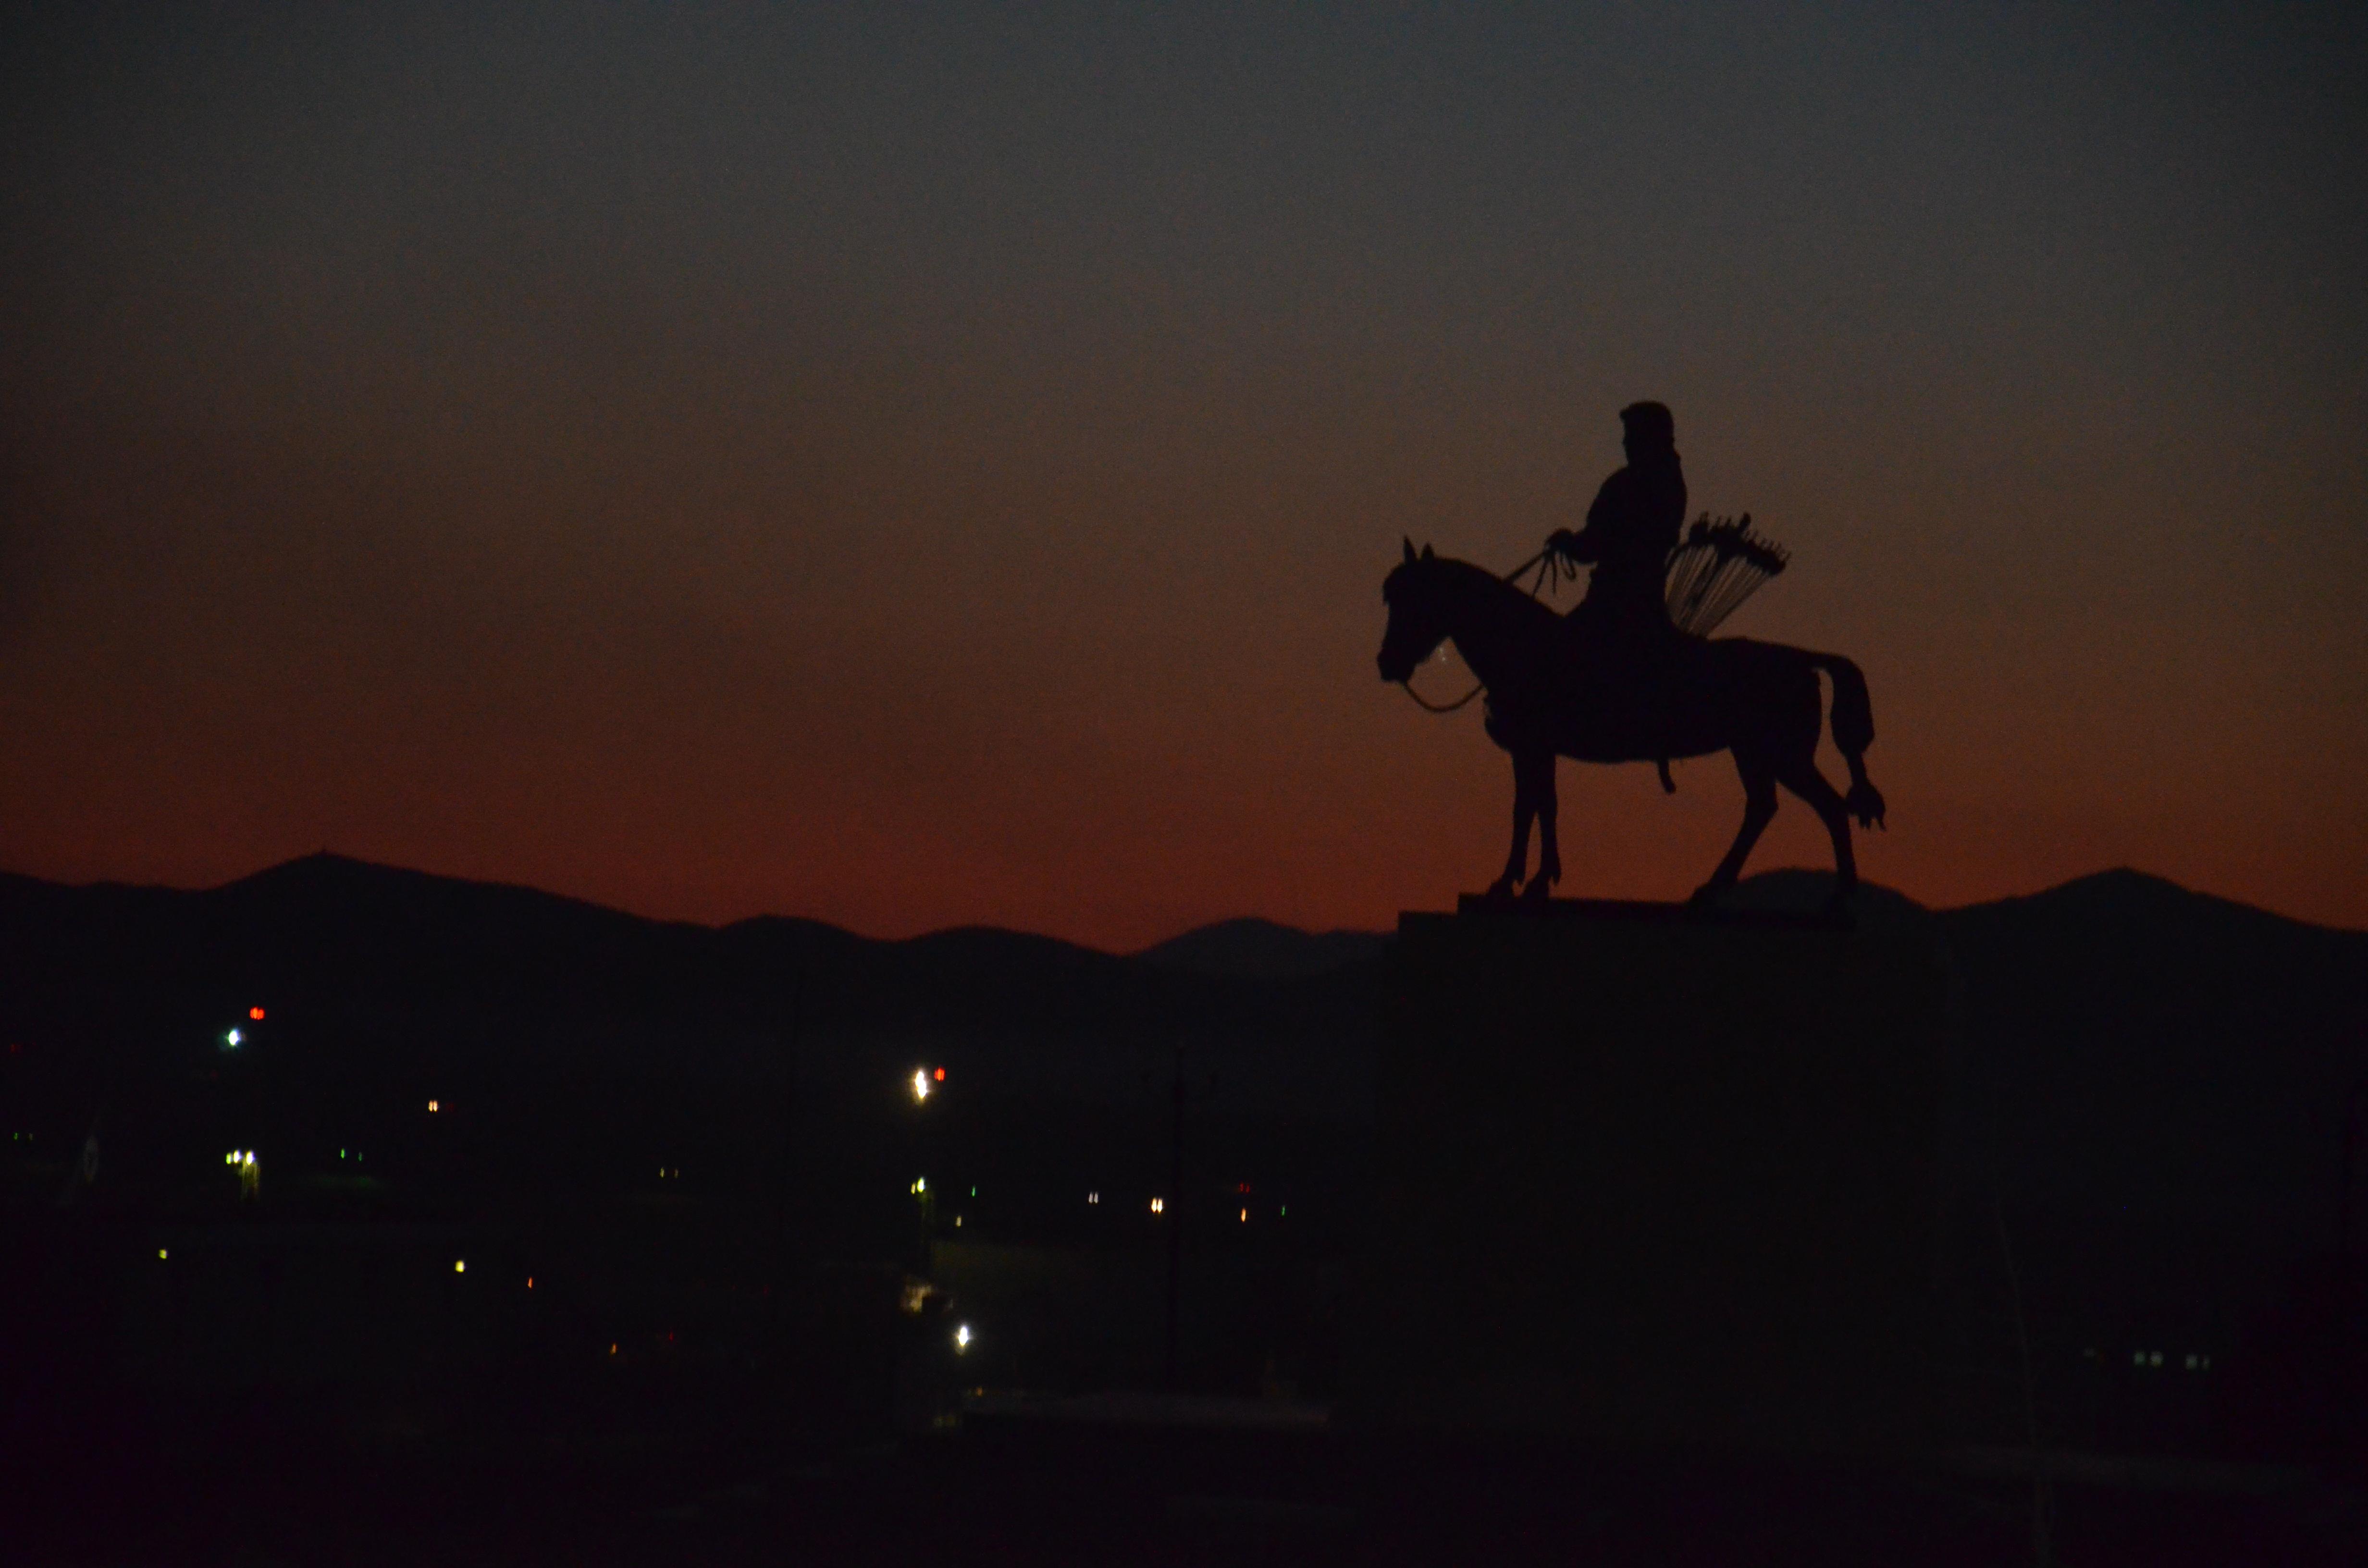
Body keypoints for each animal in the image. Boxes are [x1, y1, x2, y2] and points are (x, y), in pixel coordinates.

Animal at [1373, 547, 1885, 905]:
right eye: (1390, 599)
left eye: (1413, 598)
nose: (1386, 664)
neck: (1526, 644)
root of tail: (1802, 660)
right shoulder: (1535, 749)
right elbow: (1538, 806)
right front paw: (1530, 879)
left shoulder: (1532, 746)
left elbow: (1532, 808)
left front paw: (1519, 882)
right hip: (1755, 754)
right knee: (1763, 808)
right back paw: (1713, 887)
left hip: (1783, 754)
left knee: (1828, 807)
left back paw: (1838, 897)